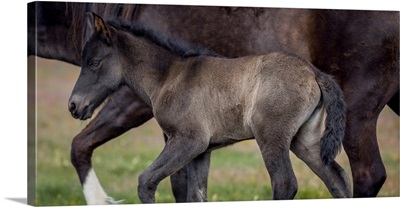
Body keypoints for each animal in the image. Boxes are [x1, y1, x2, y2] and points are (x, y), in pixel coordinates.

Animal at [69, 12, 350, 202]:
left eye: (94, 62)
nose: (74, 105)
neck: (167, 77)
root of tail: (314, 73)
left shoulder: (189, 140)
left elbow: (145, 181)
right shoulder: (202, 151)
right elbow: (197, 195)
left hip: (272, 138)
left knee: (285, 184)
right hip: (305, 142)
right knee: (337, 179)